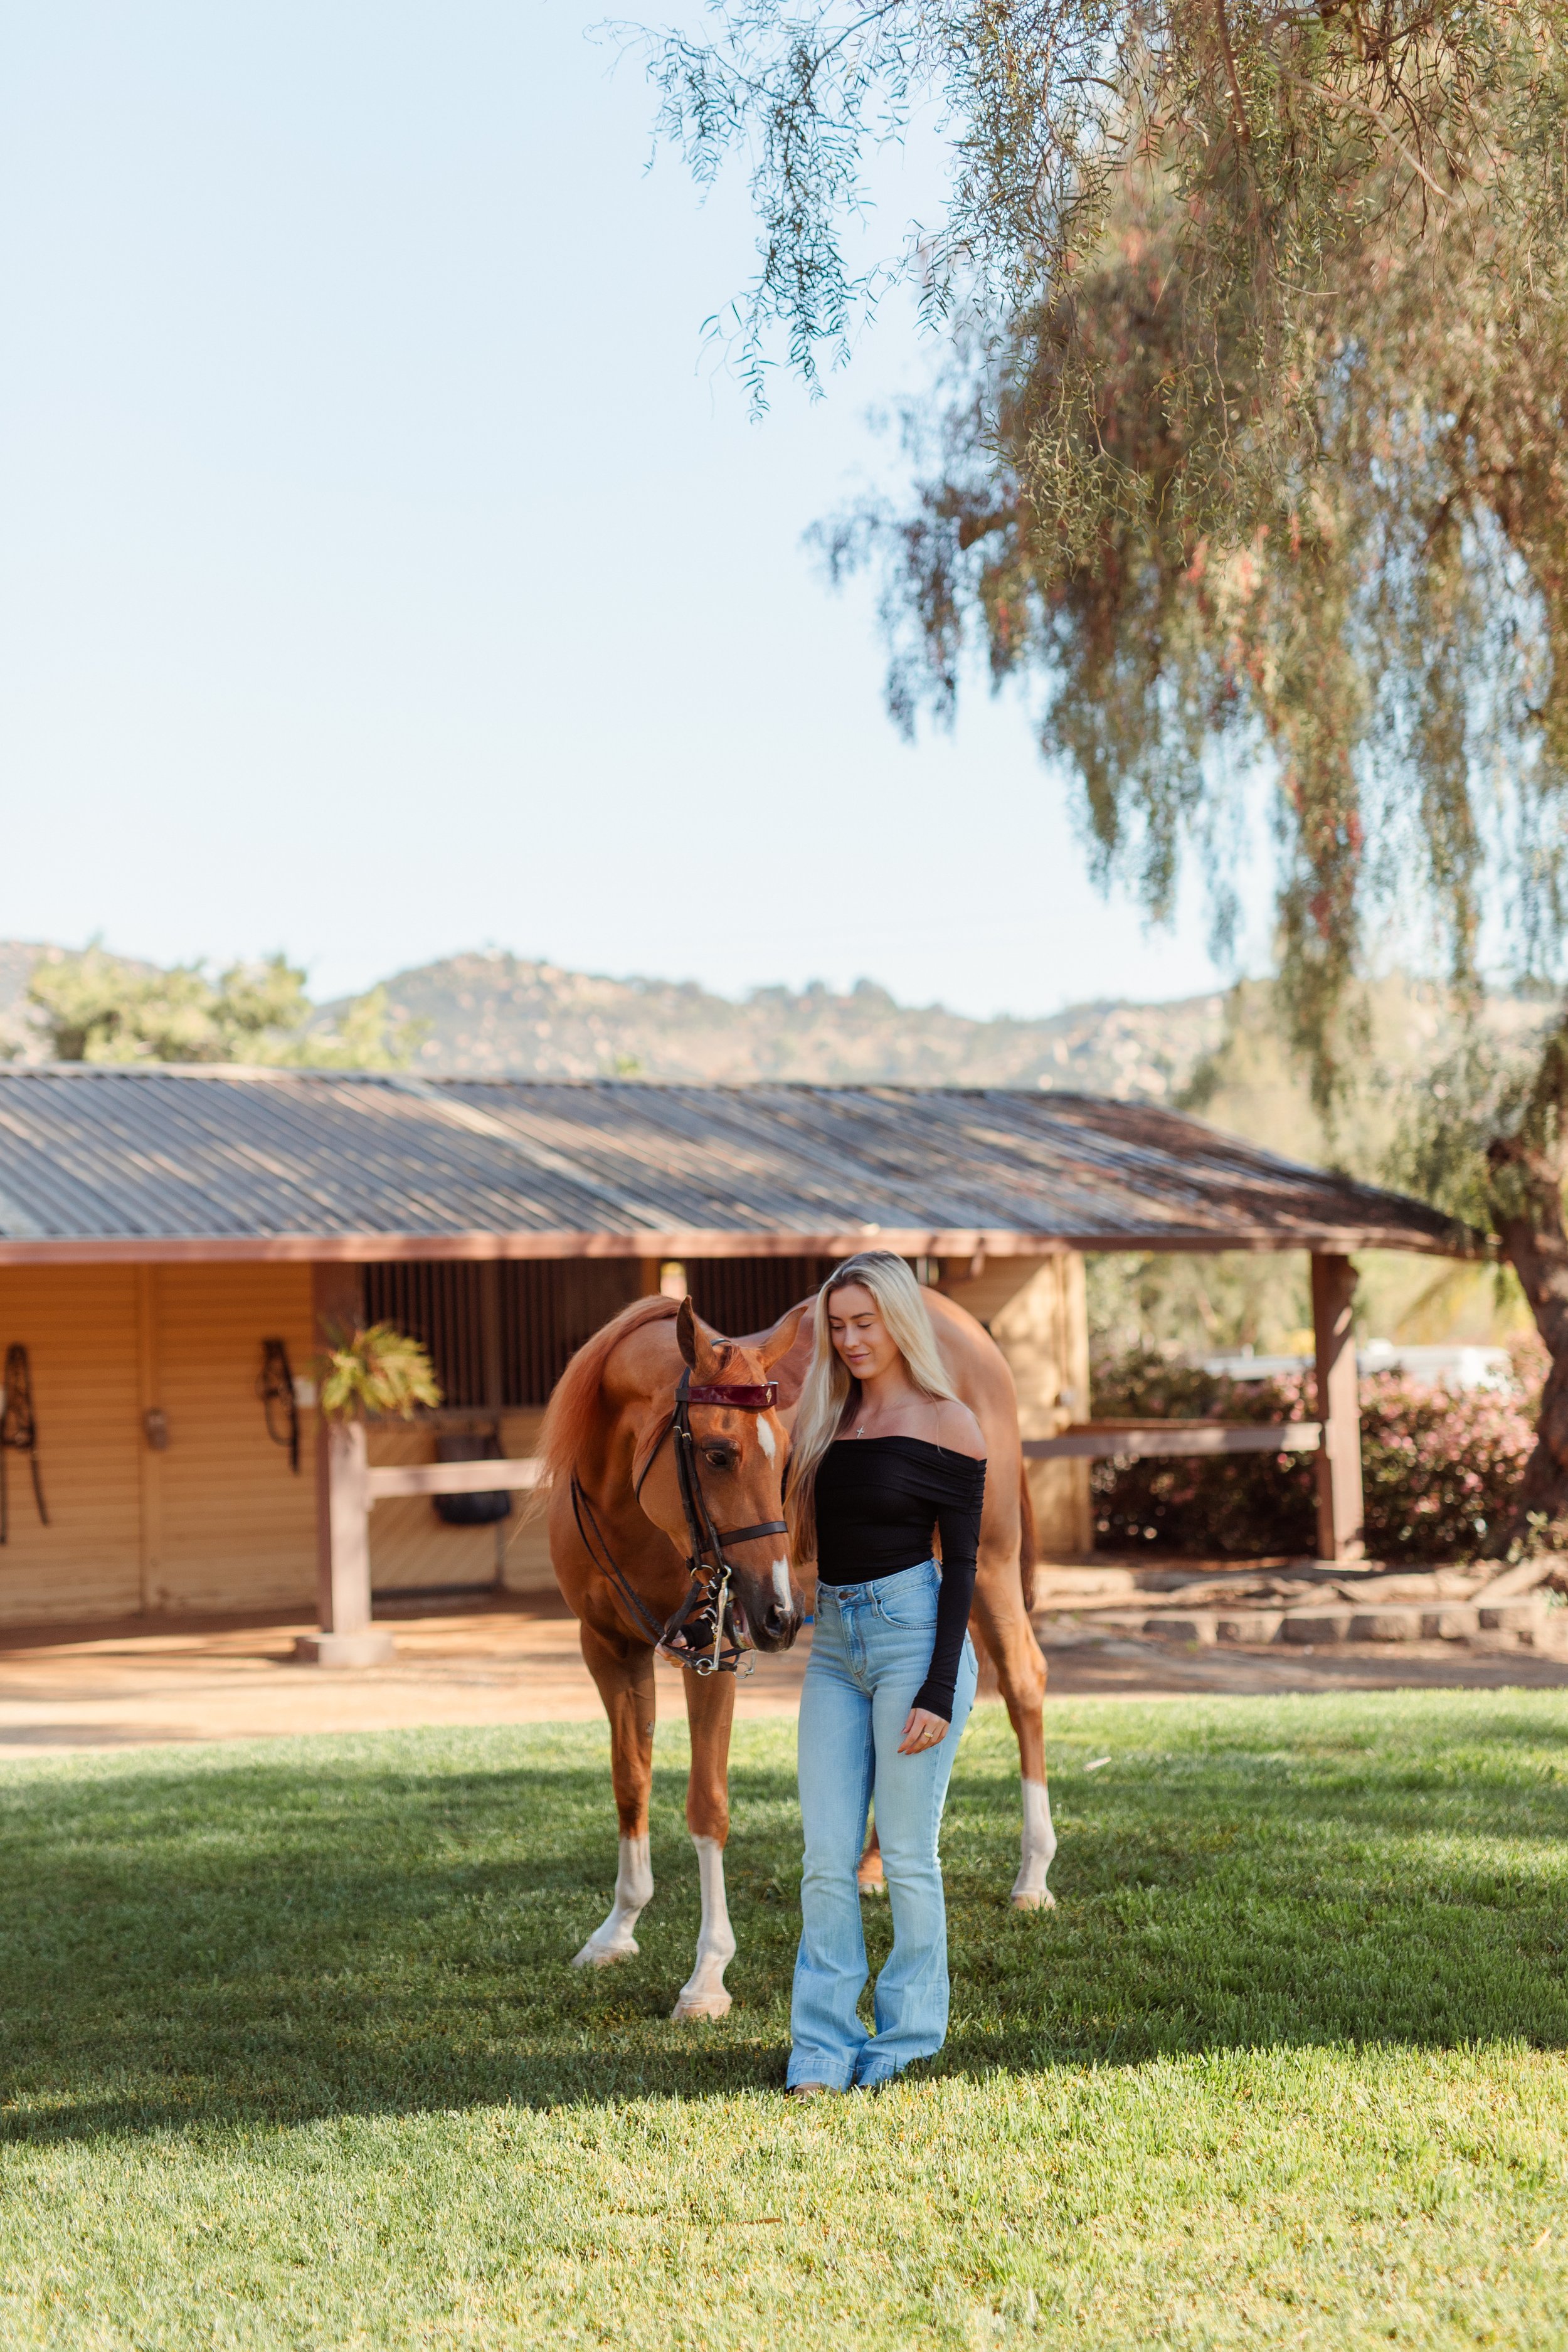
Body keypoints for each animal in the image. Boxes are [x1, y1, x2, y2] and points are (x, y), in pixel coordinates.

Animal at [541, 1283, 1056, 2025]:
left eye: (785, 1456)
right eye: (718, 1455)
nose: (780, 1616)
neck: (626, 1508)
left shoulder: (711, 1653)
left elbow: (707, 1806)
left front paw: (708, 1975)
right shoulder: (609, 1652)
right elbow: (629, 1783)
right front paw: (616, 1931)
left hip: (989, 1558)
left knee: (1022, 1682)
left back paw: (1033, 1874)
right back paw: (873, 1867)